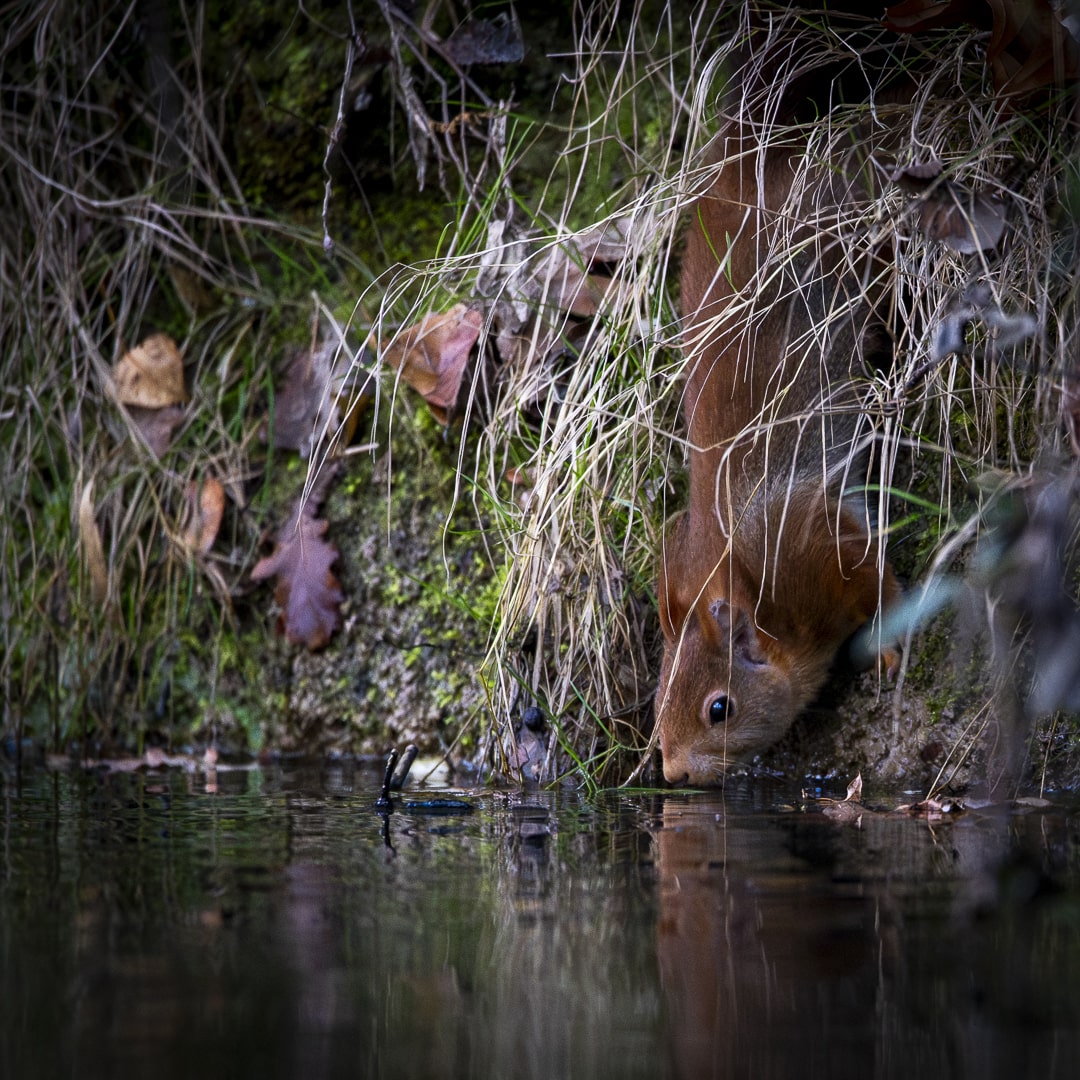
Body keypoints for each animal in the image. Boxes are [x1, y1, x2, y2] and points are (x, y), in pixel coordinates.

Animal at [656, 118, 902, 790]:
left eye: (719, 709)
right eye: (658, 700)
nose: (672, 774)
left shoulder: (808, 552)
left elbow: (876, 578)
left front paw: (891, 641)